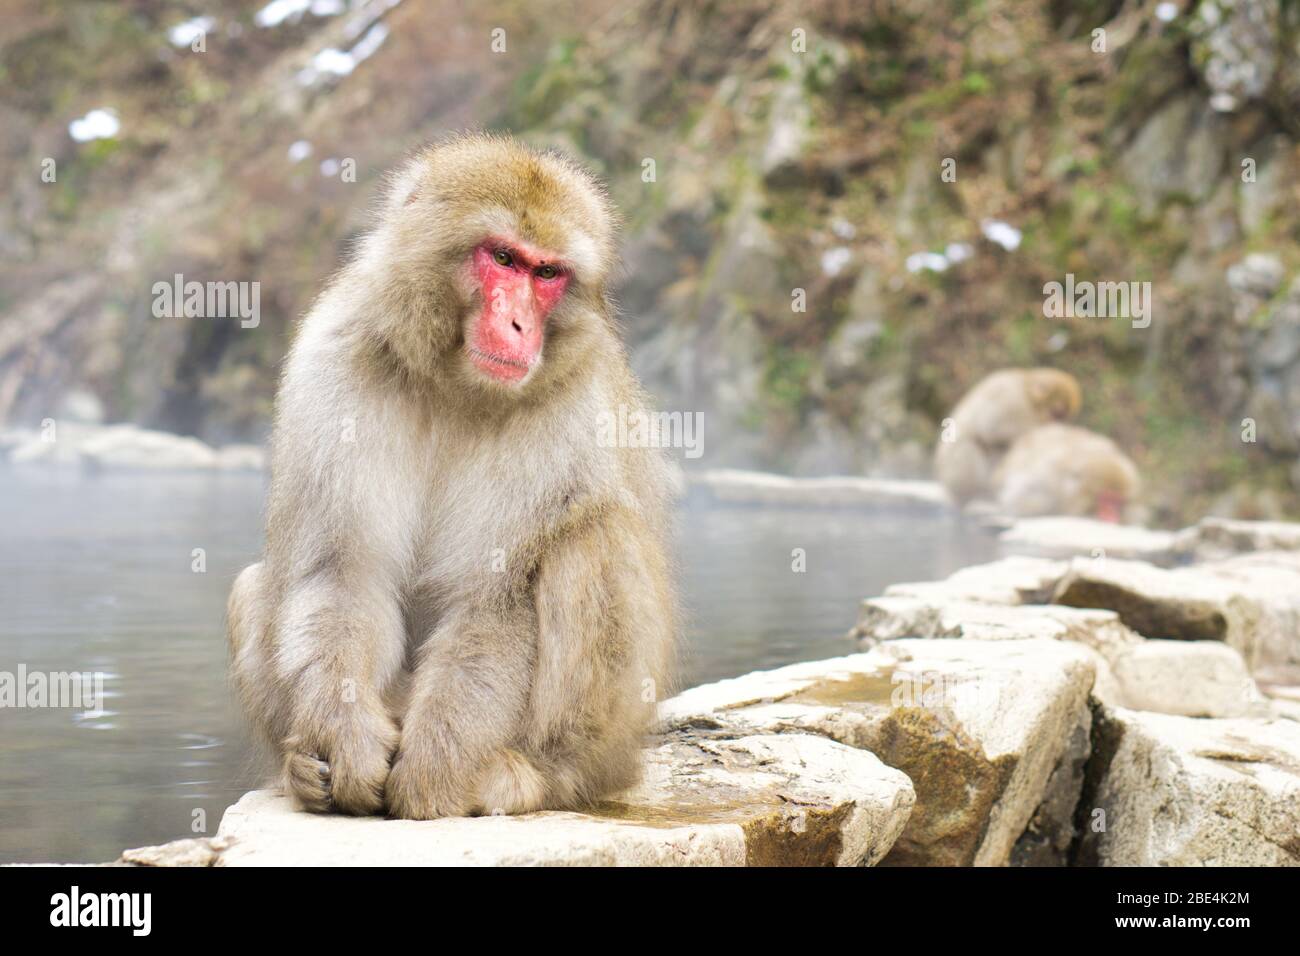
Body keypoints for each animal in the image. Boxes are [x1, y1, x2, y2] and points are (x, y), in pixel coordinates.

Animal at [224, 134, 676, 822]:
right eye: (504, 258)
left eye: (548, 274)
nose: (520, 326)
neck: (454, 384)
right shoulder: (335, 356)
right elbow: (342, 571)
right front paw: (349, 742)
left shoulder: (569, 409)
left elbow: (494, 597)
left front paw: (434, 771)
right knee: (256, 585)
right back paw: (300, 770)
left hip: (617, 743)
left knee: (593, 538)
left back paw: (530, 776)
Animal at [930, 369, 1081, 509]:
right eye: (1057, 413)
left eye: (1064, 416)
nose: (1060, 422)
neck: (1026, 395)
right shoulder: (1010, 398)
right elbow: (992, 426)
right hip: (957, 473)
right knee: (976, 447)